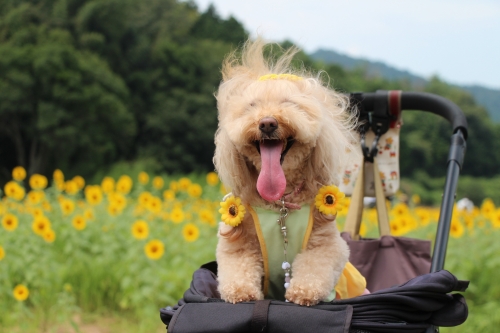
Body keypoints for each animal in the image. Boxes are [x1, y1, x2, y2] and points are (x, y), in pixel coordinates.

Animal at [212, 37, 364, 304]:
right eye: (251, 106)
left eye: (289, 104)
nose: (267, 122)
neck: (280, 203)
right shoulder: (238, 243)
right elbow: (238, 267)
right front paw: (241, 293)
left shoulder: (325, 243)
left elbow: (315, 266)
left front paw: (303, 292)